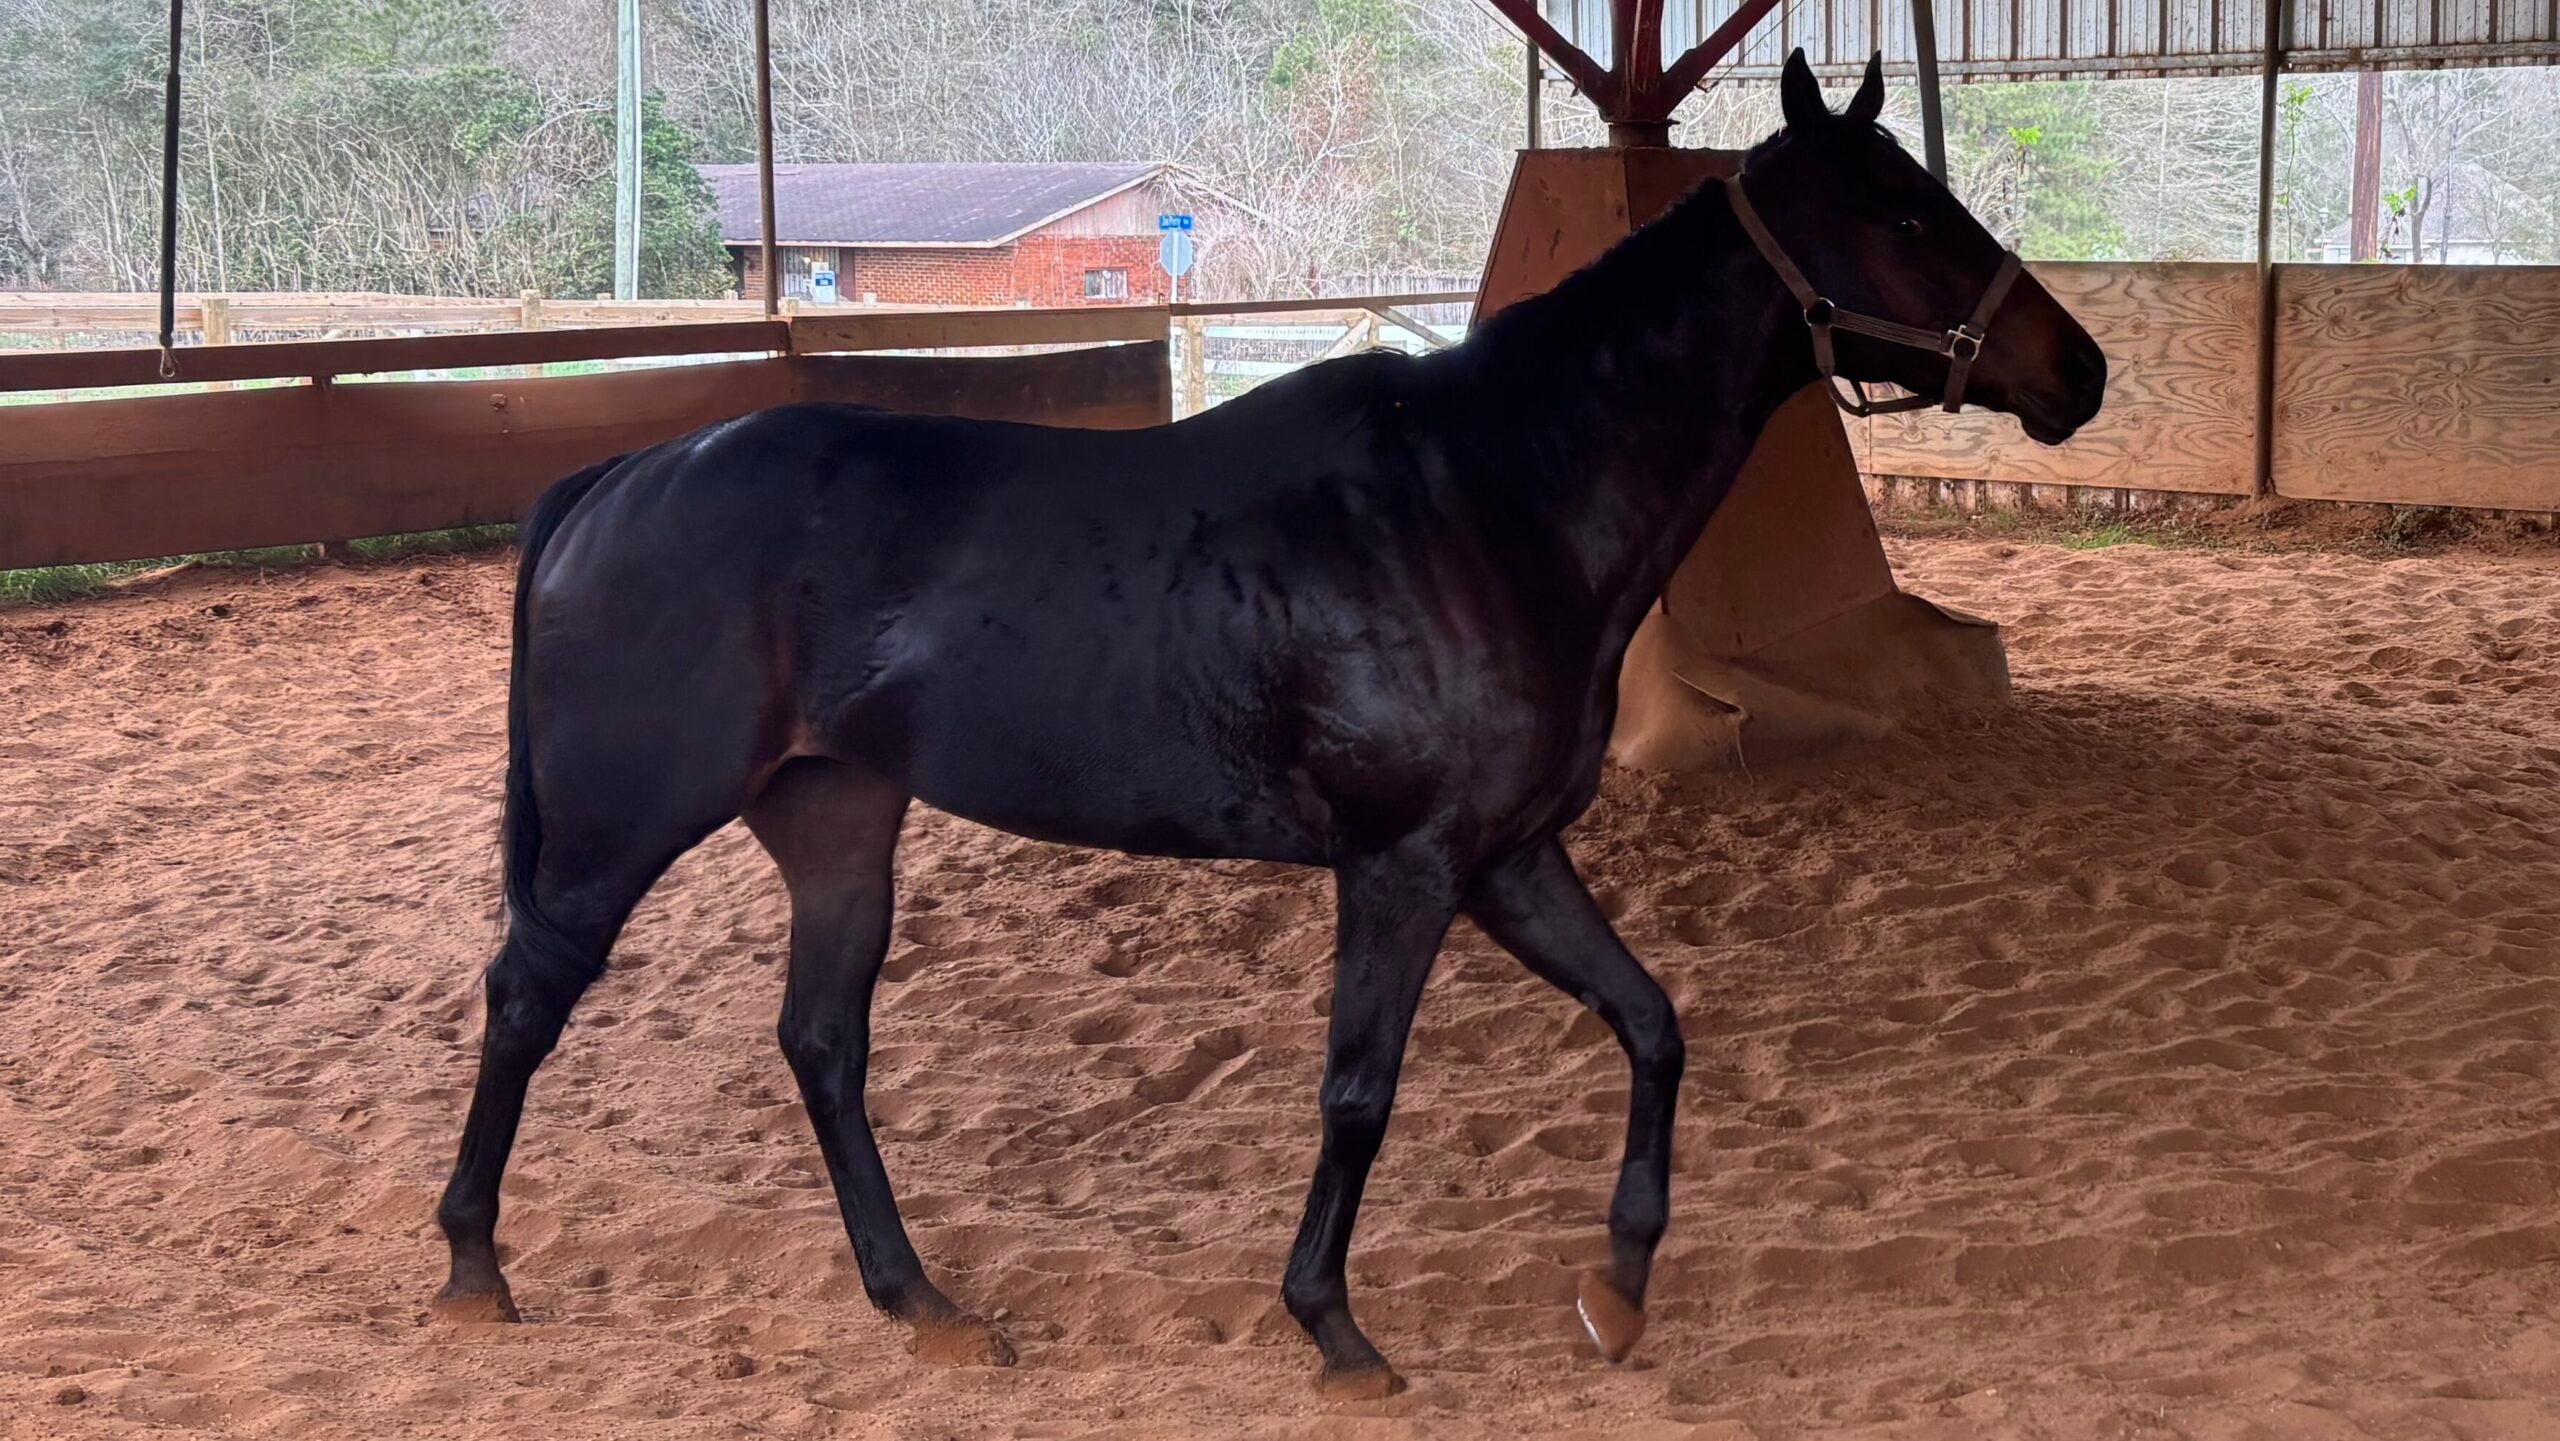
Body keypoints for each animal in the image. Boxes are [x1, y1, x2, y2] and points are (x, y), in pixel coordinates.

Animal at [432, 49, 2106, 1396]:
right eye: (1900, 214)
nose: (2079, 369)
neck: (1484, 505)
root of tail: (618, 480)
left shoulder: (1511, 863)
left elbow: (1652, 1025)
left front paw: (1619, 1292)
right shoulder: (1404, 871)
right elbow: (1358, 1092)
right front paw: (1335, 1326)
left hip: (838, 824)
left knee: (823, 1044)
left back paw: (924, 1304)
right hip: (621, 826)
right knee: (526, 996)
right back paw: (471, 1267)